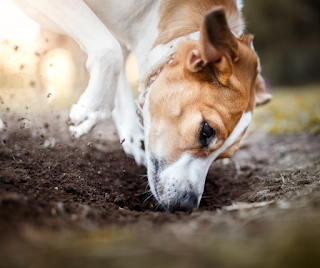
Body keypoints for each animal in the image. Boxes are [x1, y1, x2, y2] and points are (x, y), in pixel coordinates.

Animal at [11, 0, 272, 213]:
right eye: (206, 131)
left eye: (224, 156)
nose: (187, 206)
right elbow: (109, 51)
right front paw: (91, 109)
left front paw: (129, 134)